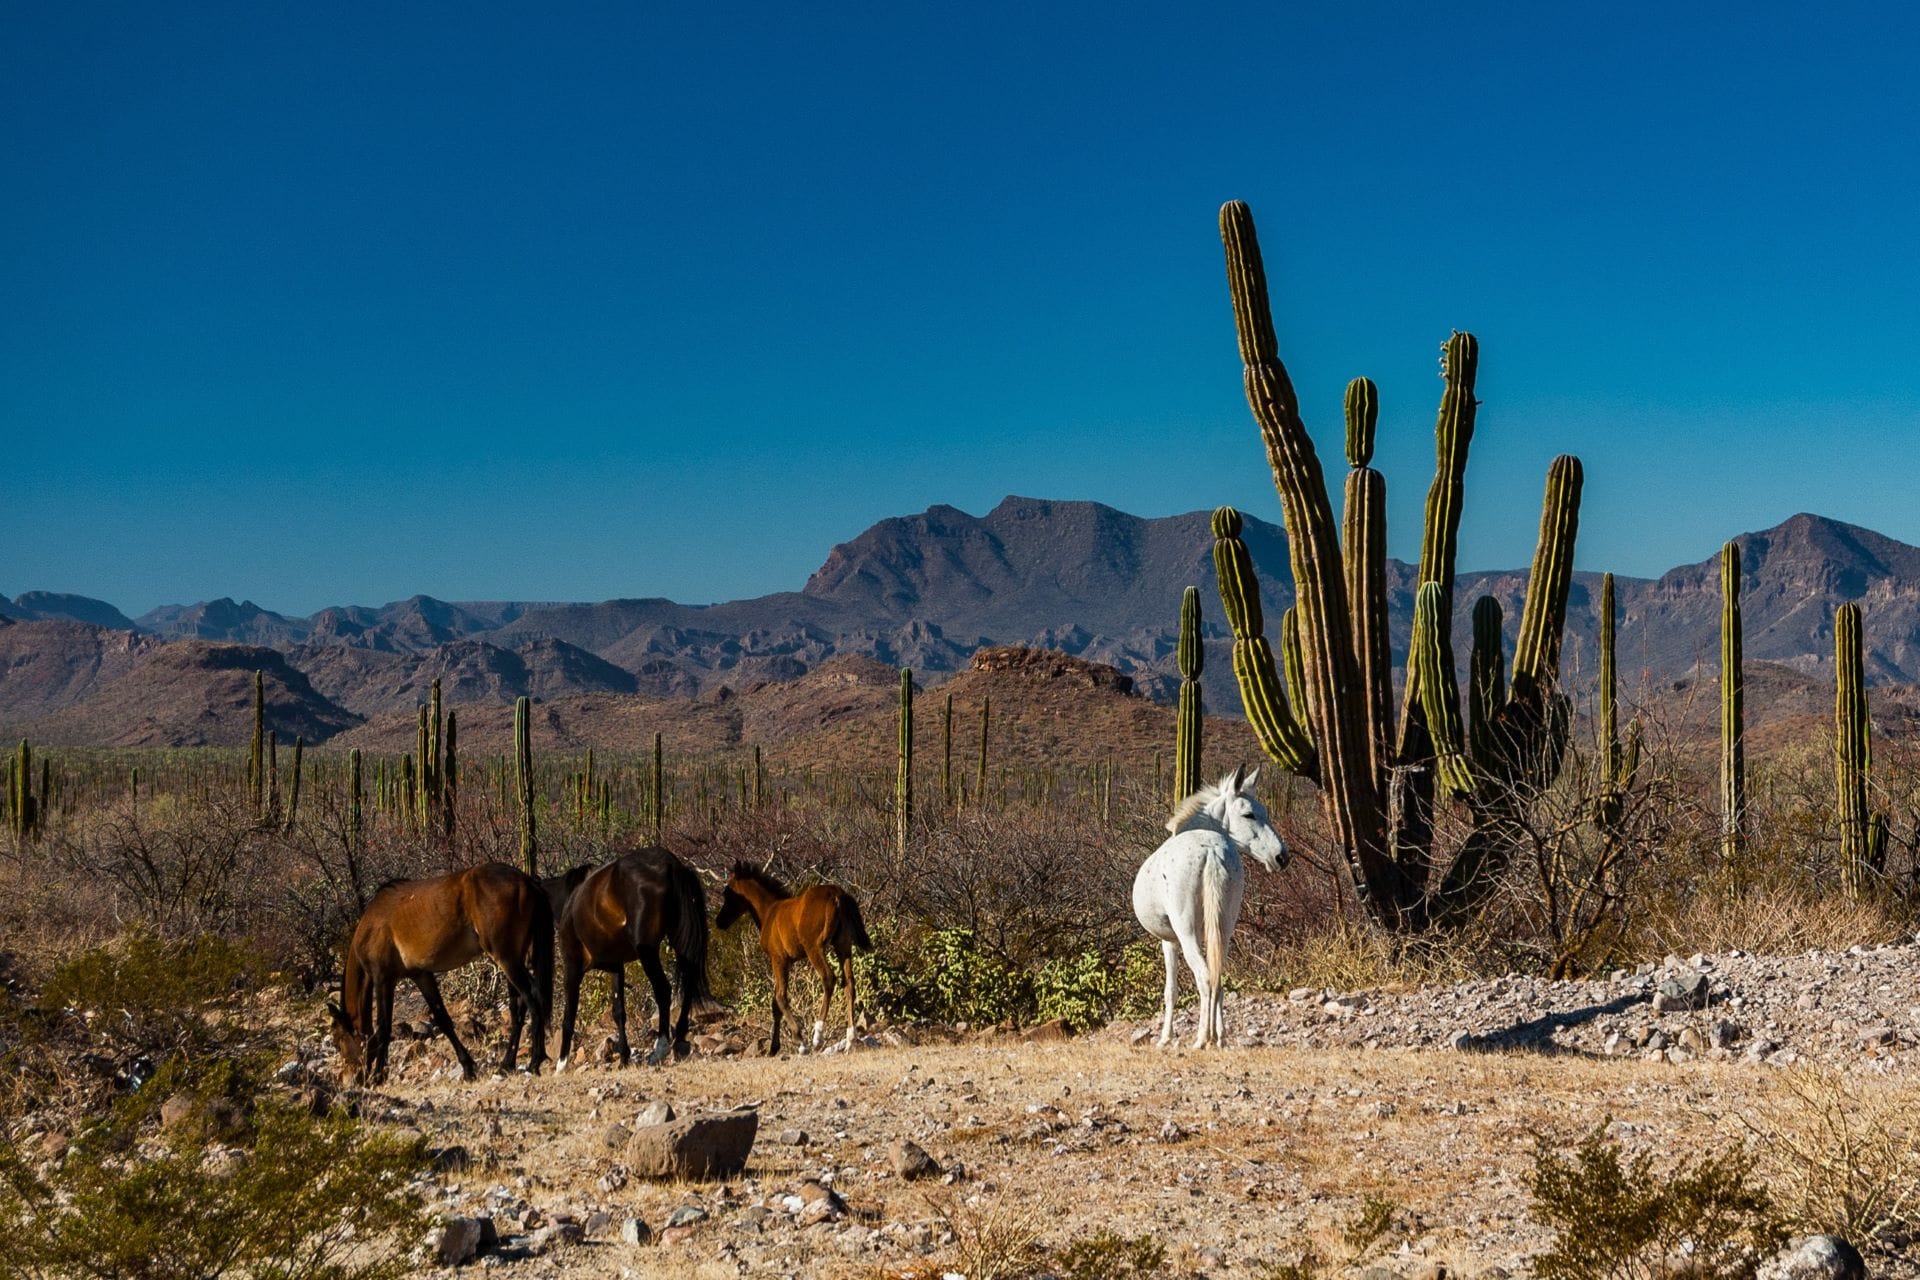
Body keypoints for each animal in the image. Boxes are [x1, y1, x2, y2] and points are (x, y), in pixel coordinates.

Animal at [328, 861, 553, 1085]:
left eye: (338, 1042)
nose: (350, 1080)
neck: (371, 924)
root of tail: (527, 881)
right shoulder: (421, 975)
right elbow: (443, 1019)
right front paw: (468, 1068)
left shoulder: (383, 979)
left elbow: (383, 1028)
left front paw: (377, 1077)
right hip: (513, 958)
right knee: (518, 1007)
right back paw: (507, 1064)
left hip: (505, 958)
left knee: (532, 997)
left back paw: (534, 1062)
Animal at [555, 845, 712, 1069]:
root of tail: (671, 864)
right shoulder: (616, 967)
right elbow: (618, 1012)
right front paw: (623, 1057)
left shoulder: (572, 969)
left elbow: (569, 1016)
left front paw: (561, 1064)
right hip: (679, 942)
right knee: (689, 983)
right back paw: (679, 1039)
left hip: (647, 952)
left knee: (663, 990)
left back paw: (660, 1048)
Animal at [714, 862, 873, 1055]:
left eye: (727, 894)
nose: (719, 921)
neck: (770, 911)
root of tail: (837, 894)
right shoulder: (787, 962)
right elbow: (775, 1004)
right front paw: (773, 1048)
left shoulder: (778, 959)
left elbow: (781, 997)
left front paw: (800, 1042)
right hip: (843, 946)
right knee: (849, 983)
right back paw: (850, 1040)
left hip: (814, 948)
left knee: (829, 978)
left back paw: (817, 1037)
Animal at [1131, 765, 1287, 1049]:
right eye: (1249, 814)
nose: (1281, 857)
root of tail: (1211, 850)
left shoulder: (1169, 941)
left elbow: (1171, 991)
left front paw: (1165, 1038)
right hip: (1224, 930)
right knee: (1217, 978)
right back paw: (1219, 1038)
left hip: (1188, 933)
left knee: (1204, 978)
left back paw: (1202, 1038)